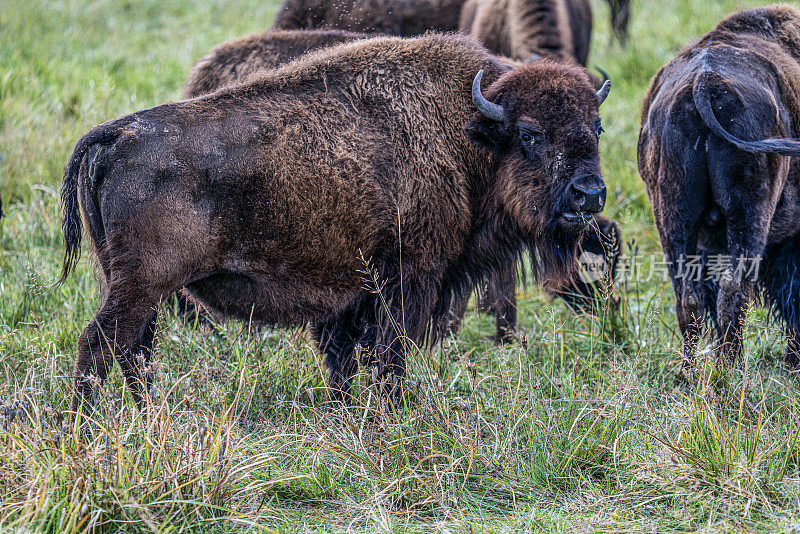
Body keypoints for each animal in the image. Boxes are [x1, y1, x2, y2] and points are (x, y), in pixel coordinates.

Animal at [62, 34, 612, 414]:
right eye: (530, 134)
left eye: (597, 127)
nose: (589, 194)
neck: (469, 132)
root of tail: (120, 134)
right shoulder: (410, 274)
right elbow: (389, 353)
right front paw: (392, 413)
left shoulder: (354, 294)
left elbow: (344, 357)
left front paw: (344, 411)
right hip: (141, 285)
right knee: (101, 345)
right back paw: (87, 427)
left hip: (135, 286)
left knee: (134, 350)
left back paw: (154, 416)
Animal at [636, 5, 800, 382]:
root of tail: (704, 83)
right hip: (748, 217)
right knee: (733, 291)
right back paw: (732, 371)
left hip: (673, 220)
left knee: (689, 300)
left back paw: (689, 375)